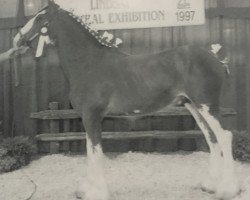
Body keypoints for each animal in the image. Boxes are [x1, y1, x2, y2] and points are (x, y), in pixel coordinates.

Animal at [13, 0, 240, 199]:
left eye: (39, 18)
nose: (17, 40)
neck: (88, 63)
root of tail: (217, 59)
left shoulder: (92, 116)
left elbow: (96, 152)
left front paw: (97, 192)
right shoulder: (87, 118)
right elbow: (90, 150)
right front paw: (86, 190)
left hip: (207, 106)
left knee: (225, 136)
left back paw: (228, 190)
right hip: (194, 107)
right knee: (212, 138)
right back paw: (209, 185)